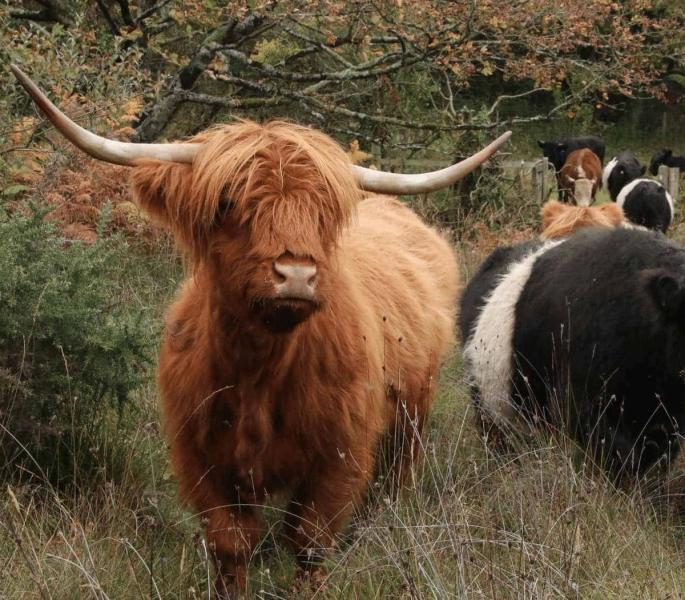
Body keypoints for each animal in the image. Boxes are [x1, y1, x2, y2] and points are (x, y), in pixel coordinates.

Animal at [11, 65, 510, 595]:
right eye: (230, 202)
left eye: (323, 211)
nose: (296, 274)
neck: (259, 370)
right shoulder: (200, 457)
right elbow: (229, 542)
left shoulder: (340, 454)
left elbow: (310, 540)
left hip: (413, 414)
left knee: (393, 483)